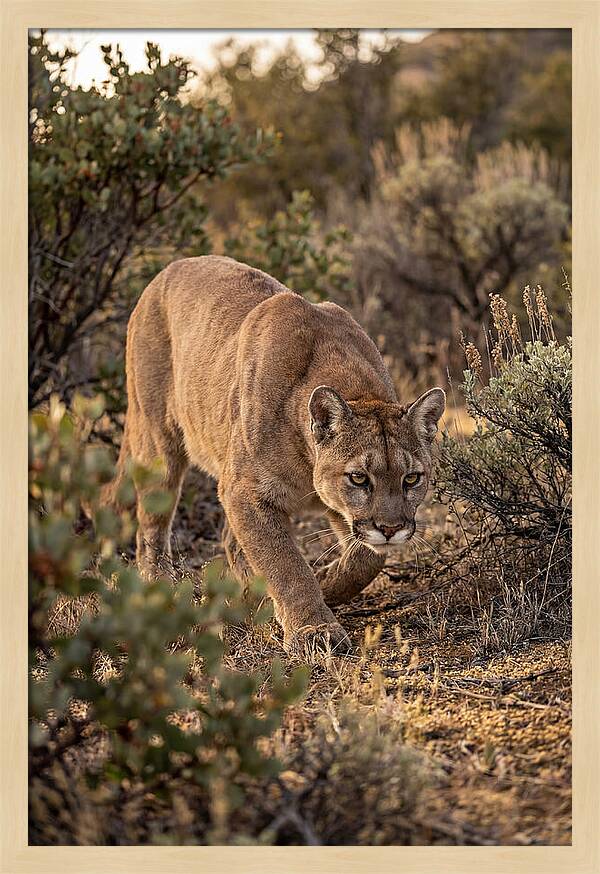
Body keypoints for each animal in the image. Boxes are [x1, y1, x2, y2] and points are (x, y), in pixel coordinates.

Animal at [104, 256, 445, 655]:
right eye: (359, 478)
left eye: (412, 478)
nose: (391, 529)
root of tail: (167, 269)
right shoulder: (247, 492)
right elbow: (284, 563)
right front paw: (314, 629)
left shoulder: (332, 507)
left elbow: (367, 558)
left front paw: (326, 582)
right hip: (159, 442)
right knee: (152, 527)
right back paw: (161, 586)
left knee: (229, 540)